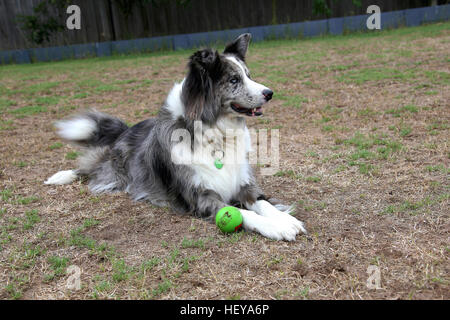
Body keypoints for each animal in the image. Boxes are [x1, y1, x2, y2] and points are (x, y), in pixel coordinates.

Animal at [45, 33, 306, 241]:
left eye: (248, 75)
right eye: (234, 80)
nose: (270, 93)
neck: (215, 135)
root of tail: (127, 129)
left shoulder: (243, 183)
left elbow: (262, 203)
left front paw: (284, 219)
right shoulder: (201, 197)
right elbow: (244, 213)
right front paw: (276, 227)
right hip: (115, 172)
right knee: (92, 169)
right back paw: (62, 176)